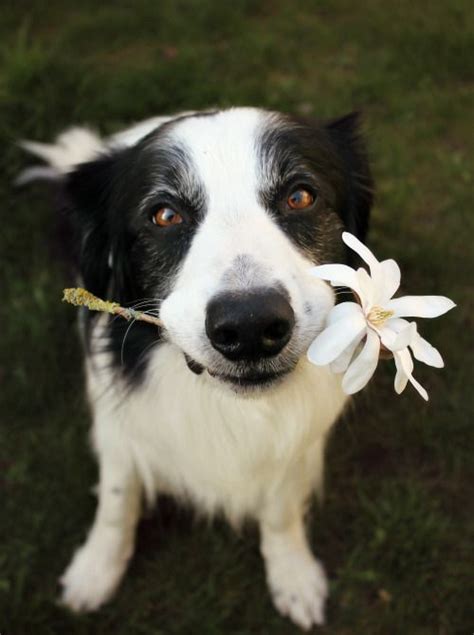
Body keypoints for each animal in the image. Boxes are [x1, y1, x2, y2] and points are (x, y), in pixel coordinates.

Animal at [20, 109, 372, 632]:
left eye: (301, 196)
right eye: (164, 215)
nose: (250, 326)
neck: (224, 404)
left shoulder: (296, 442)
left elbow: (281, 510)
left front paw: (293, 575)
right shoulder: (119, 428)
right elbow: (116, 501)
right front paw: (95, 571)